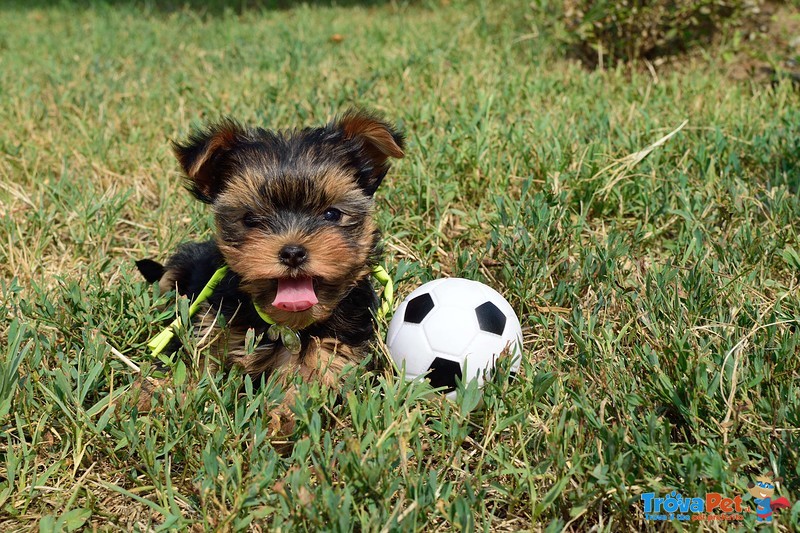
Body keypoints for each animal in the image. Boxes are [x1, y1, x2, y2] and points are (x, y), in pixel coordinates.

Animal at [135, 110, 406, 430]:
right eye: (250, 219)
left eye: (331, 214)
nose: (292, 252)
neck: (284, 324)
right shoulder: (208, 323)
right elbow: (187, 359)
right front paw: (150, 396)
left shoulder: (336, 352)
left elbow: (305, 387)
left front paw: (279, 418)